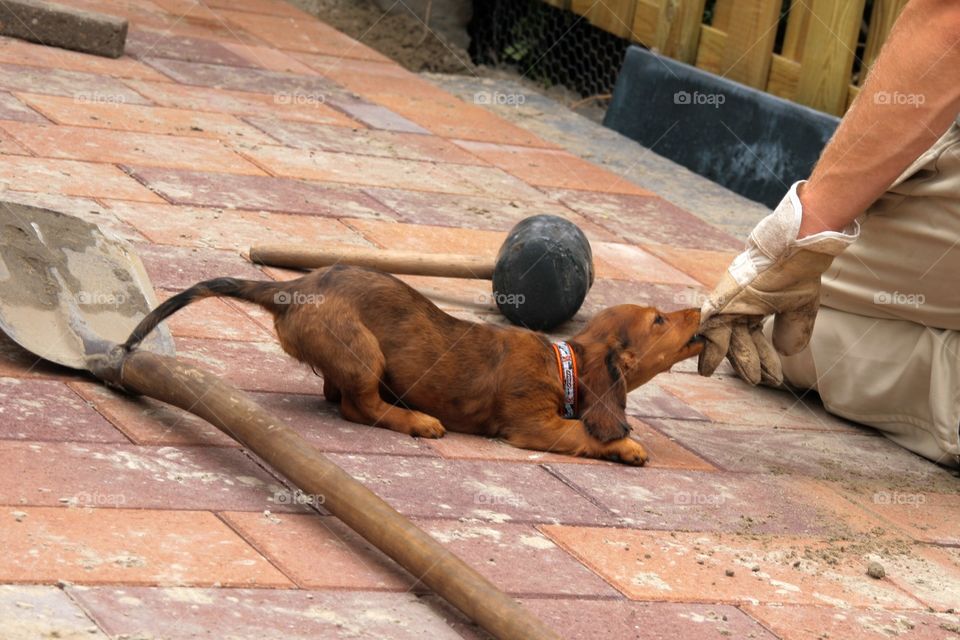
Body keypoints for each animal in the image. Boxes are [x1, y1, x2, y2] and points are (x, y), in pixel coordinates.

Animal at [124, 264, 700, 464]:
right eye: (658, 320)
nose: (699, 310)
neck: (565, 363)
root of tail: (294, 288)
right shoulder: (534, 426)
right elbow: (584, 433)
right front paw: (627, 446)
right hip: (364, 354)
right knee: (359, 408)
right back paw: (417, 420)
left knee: (336, 395)